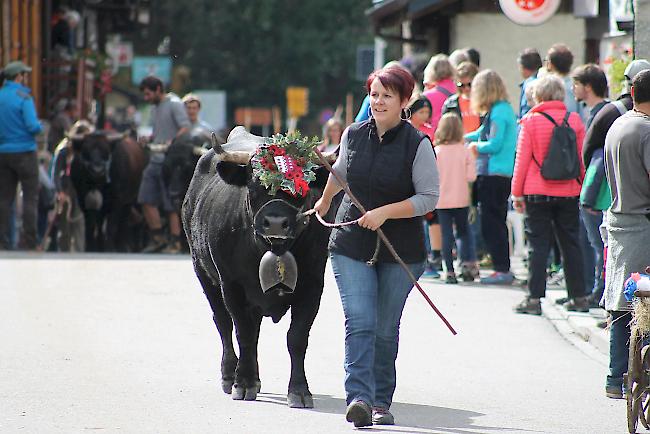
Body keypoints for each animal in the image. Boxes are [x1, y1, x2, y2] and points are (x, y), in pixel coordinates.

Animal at [181, 125, 334, 406]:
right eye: (254, 185)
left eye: (301, 188)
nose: (275, 223)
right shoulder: (231, 285)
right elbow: (243, 333)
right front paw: (243, 383)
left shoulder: (313, 285)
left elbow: (297, 337)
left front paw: (299, 390)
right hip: (203, 273)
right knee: (224, 323)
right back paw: (230, 374)